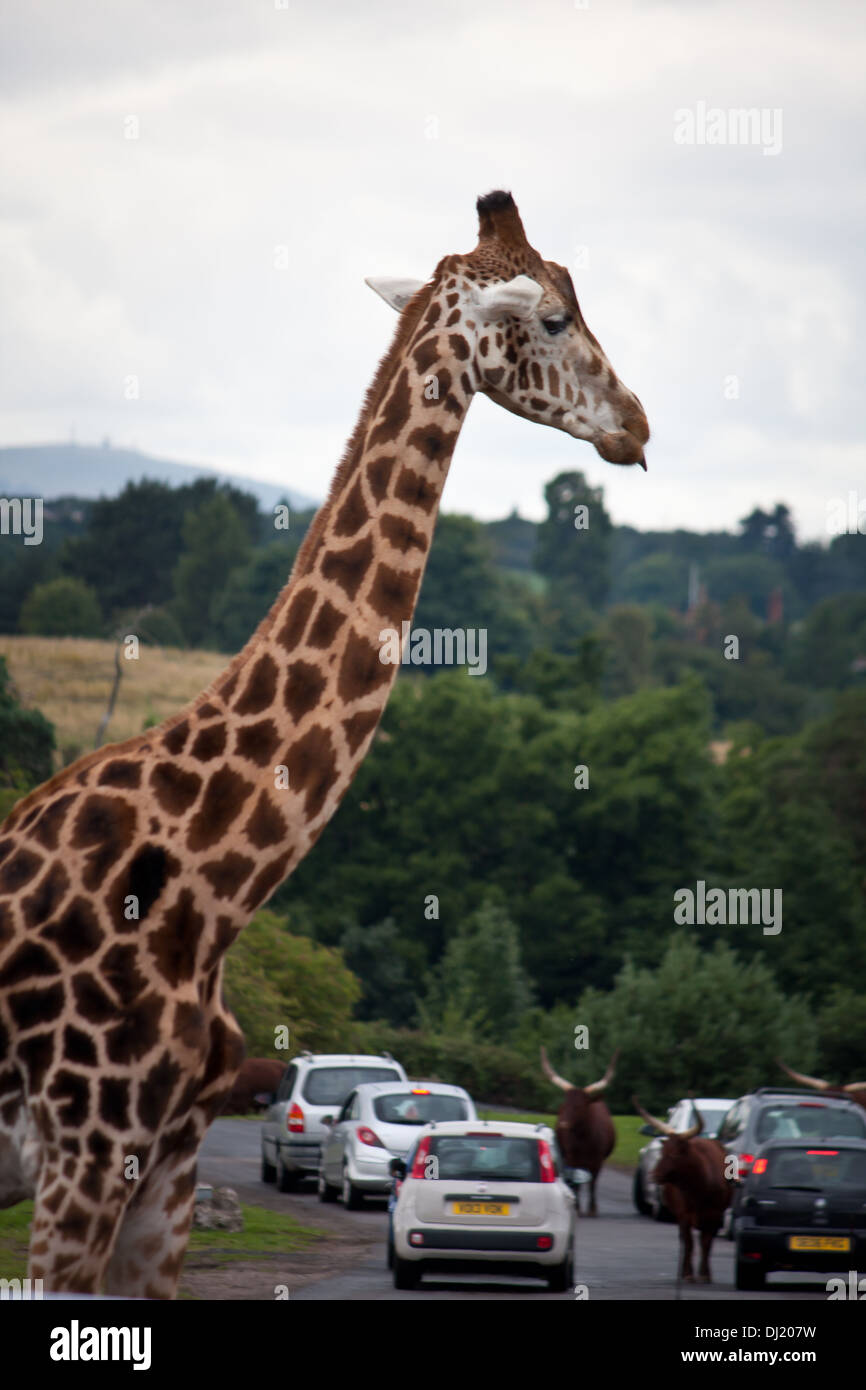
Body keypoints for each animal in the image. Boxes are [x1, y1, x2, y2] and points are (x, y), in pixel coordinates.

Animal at [539, 1045, 619, 1212]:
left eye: (580, 1106)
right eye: (564, 1105)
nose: (563, 1124)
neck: (584, 1139)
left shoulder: (598, 1160)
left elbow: (593, 1183)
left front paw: (592, 1209)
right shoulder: (572, 1157)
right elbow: (576, 1182)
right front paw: (576, 1207)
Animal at [631, 1100, 733, 1284]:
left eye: (675, 1154)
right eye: (662, 1152)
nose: (654, 1175)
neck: (700, 1185)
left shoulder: (715, 1214)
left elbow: (706, 1242)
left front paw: (705, 1274)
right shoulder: (684, 1214)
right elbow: (689, 1243)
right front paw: (688, 1274)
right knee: (685, 1241)